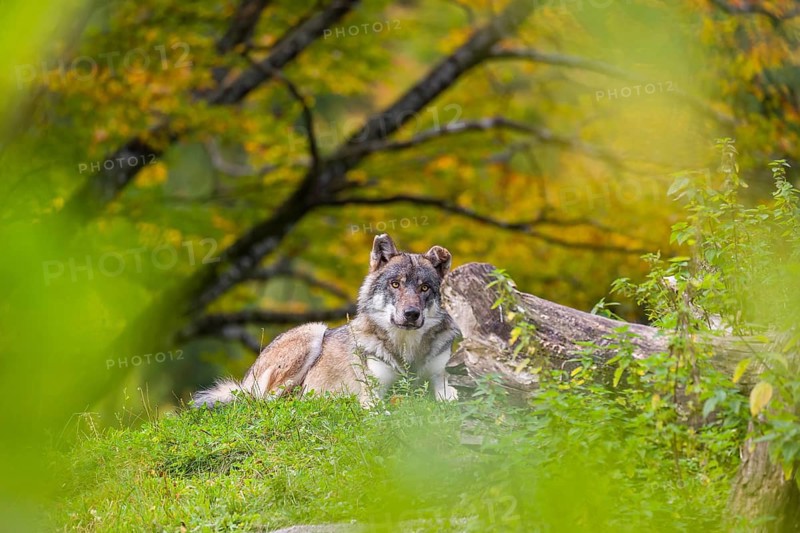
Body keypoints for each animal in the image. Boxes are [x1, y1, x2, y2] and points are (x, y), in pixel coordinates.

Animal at [193, 234, 460, 408]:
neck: (407, 351)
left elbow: (450, 398)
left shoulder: (441, 381)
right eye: (396, 284)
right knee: (263, 402)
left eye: (424, 288)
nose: (411, 314)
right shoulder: (372, 395)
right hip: (313, 332)